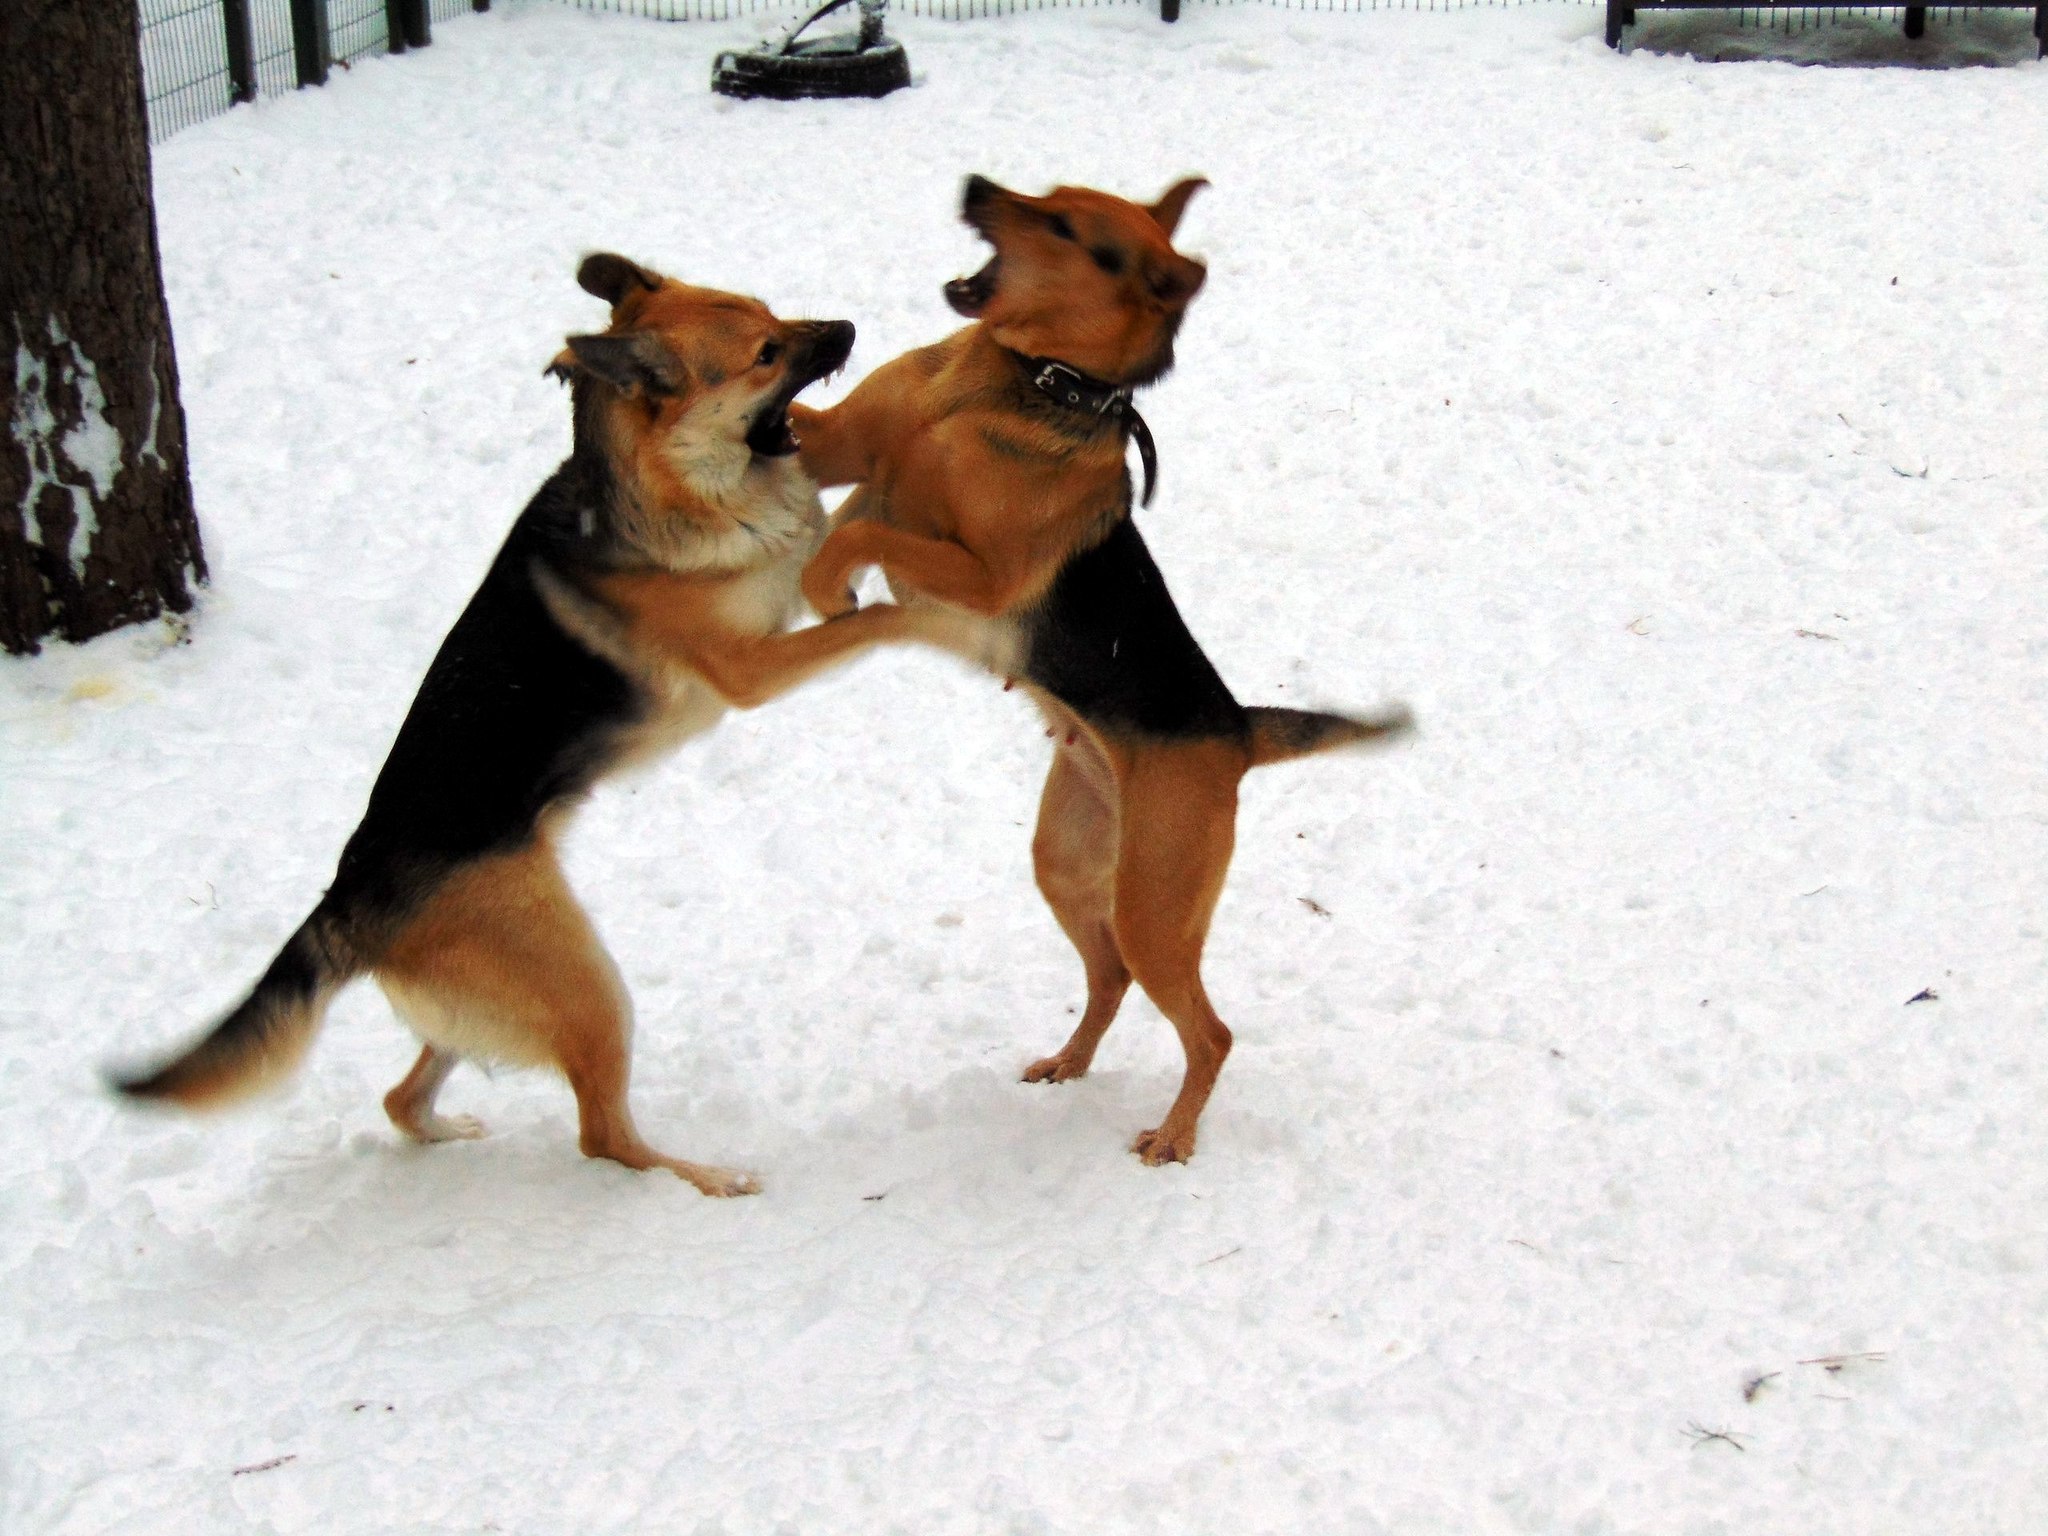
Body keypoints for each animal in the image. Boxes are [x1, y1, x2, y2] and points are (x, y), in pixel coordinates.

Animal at [105, 252, 921, 1196]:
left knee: (403, 1097)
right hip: (586, 984)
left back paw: (444, 1128)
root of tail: (347, 899)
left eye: (770, 310)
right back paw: (701, 1180)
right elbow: (860, 611)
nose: (849, 331)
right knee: (603, 1135)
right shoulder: (750, 665)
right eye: (764, 353)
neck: (666, 487)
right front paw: (932, 604)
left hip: (501, 1001)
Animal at [790, 177, 1417, 1163]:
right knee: (1110, 978)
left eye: (1063, 227)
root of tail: (1235, 726)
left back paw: (1173, 1137)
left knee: (1209, 1030)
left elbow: (863, 535)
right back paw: (1068, 1063)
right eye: (1043, 193)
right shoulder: (837, 448)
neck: (1018, 382)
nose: (975, 187)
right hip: (1071, 859)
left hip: (1155, 901)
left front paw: (829, 588)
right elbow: (825, 461)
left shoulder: (983, 572)